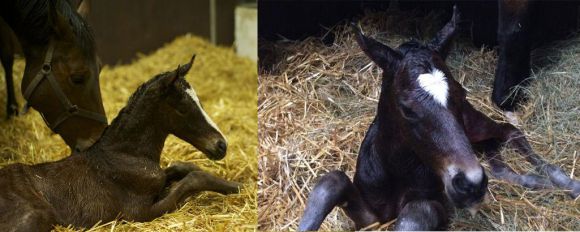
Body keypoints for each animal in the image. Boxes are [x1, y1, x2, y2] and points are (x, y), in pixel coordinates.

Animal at [0, 55, 241, 231]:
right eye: (182, 109)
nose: (221, 145)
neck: (123, 155)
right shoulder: (138, 213)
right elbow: (194, 179)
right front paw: (236, 186)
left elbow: (182, 168)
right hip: (34, 216)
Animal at [300, 6, 580, 231]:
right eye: (406, 108)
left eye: (461, 93)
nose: (471, 183)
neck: (398, 173)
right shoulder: (370, 216)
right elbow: (331, 181)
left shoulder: (436, 205)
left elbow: (416, 215)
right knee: (498, 164)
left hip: (473, 126)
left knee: (509, 130)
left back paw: (567, 183)